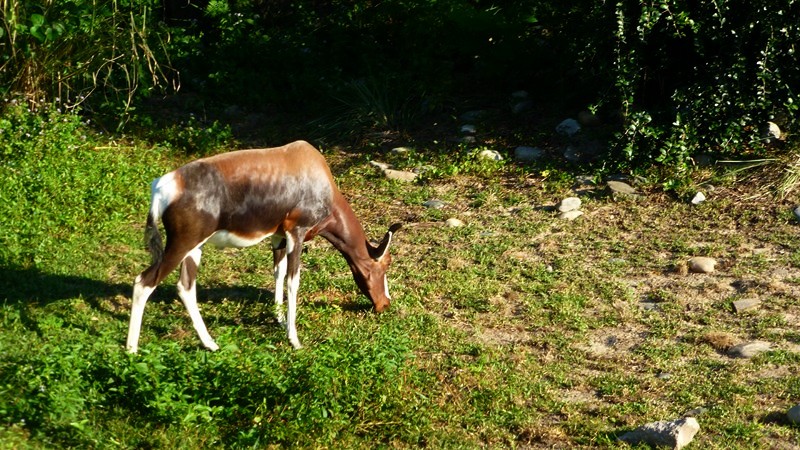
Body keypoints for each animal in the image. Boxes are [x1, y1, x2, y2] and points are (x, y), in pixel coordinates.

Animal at [127, 141, 400, 352]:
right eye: (385, 264)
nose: (384, 304)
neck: (310, 168)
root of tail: (162, 186)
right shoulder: (296, 233)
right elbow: (293, 281)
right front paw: (294, 340)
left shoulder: (279, 236)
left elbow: (278, 273)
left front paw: (279, 320)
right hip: (181, 245)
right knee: (144, 282)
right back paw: (131, 350)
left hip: (194, 248)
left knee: (185, 287)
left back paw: (211, 344)